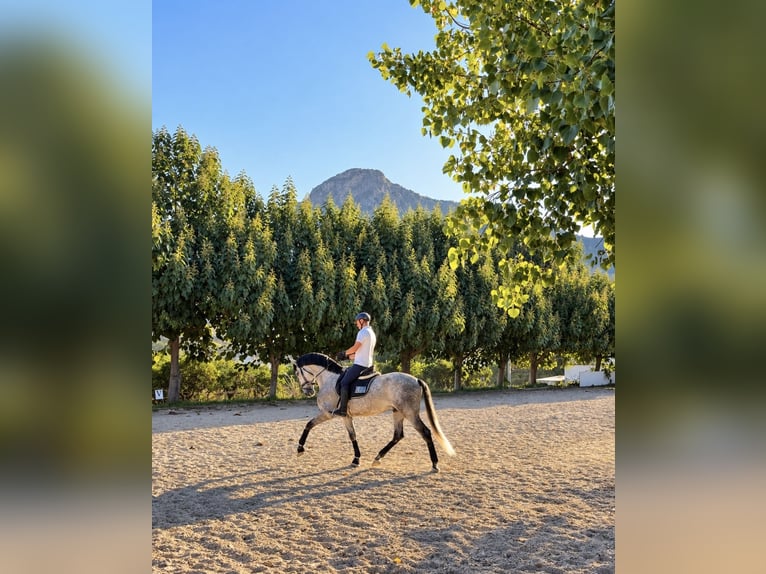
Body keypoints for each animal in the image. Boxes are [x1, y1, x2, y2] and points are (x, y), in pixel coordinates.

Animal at [292, 353, 456, 472]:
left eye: (298, 373)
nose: (308, 391)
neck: (329, 379)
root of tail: (416, 380)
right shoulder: (346, 416)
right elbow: (352, 435)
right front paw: (356, 459)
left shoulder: (327, 413)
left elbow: (309, 425)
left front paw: (300, 448)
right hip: (398, 412)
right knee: (398, 435)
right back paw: (377, 458)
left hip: (410, 413)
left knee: (425, 432)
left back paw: (434, 464)